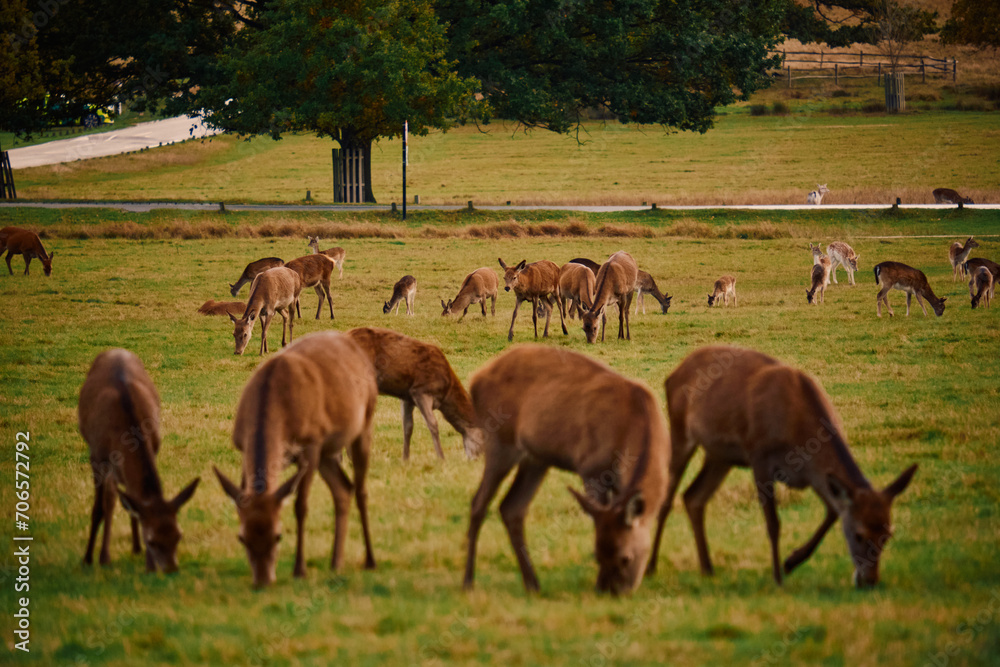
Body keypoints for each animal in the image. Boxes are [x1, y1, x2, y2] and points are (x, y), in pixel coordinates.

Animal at [79, 349, 200, 572]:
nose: (171, 569)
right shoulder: (97, 456)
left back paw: (133, 548)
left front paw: (140, 554)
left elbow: (133, 499)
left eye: (179, 536)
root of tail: (115, 349)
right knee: (109, 499)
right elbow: (101, 507)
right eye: (151, 540)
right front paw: (93, 558)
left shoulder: (154, 446)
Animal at [213, 331, 378, 588]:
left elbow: (301, 505)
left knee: (361, 490)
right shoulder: (242, 447)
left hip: (363, 424)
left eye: (278, 536)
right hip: (326, 451)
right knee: (343, 488)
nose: (263, 580)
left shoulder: (310, 444)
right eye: (242, 538)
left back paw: (370, 560)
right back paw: (336, 562)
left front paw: (299, 569)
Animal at [346, 327, 484, 460]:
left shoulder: (406, 397)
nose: (476, 459)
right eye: (485, 439)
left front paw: (405, 459)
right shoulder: (420, 391)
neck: (445, 394)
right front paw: (441, 457)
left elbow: (408, 426)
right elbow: (433, 424)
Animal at [464, 344, 669, 595]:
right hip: (499, 441)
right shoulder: (592, 468)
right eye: (597, 554)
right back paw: (468, 582)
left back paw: (533, 584)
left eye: (626, 558)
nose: (611, 592)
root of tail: (475, 379)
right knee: (479, 503)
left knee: (511, 507)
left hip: (536, 459)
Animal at [650, 345, 917, 588]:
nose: (869, 580)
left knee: (694, 497)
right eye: (858, 534)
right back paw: (651, 566)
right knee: (667, 497)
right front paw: (778, 577)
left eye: (887, 534)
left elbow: (832, 511)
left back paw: (707, 569)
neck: (799, 429)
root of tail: (672, 375)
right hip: (680, 432)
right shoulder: (759, 456)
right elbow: (773, 523)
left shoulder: (813, 473)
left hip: (720, 455)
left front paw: (791, 561)